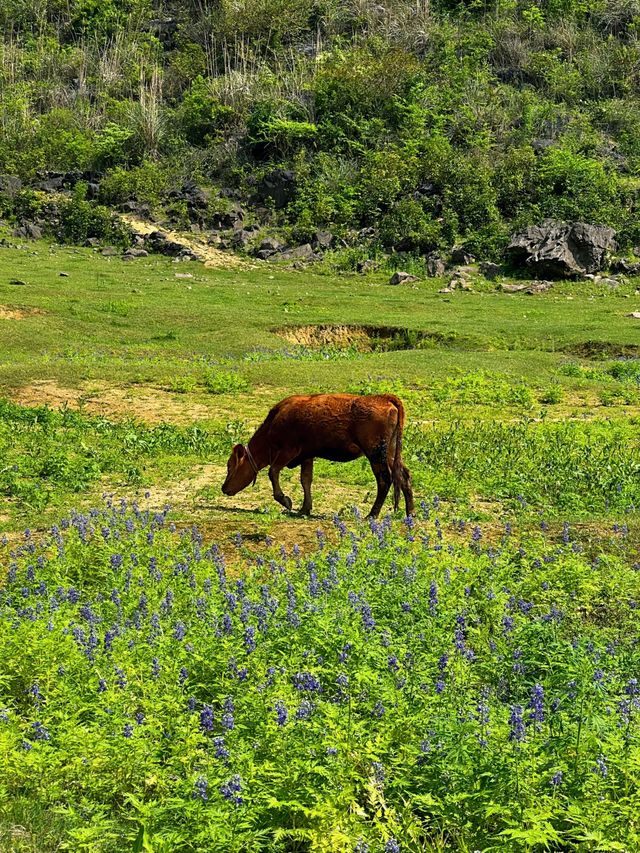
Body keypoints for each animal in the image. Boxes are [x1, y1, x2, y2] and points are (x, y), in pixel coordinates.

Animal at [221, 392, 416, 520]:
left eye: (230, 466)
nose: (224, 488)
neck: (275, 421)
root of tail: (383, 398)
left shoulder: (288, 451)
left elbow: (273, 472)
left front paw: (285, 500)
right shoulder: (307, 455)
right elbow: (305, 480)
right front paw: (304, 508)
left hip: (375, 454)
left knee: (384, 480)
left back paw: (372, 515)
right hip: (390, 454)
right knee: (403, 476)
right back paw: (410, 514)